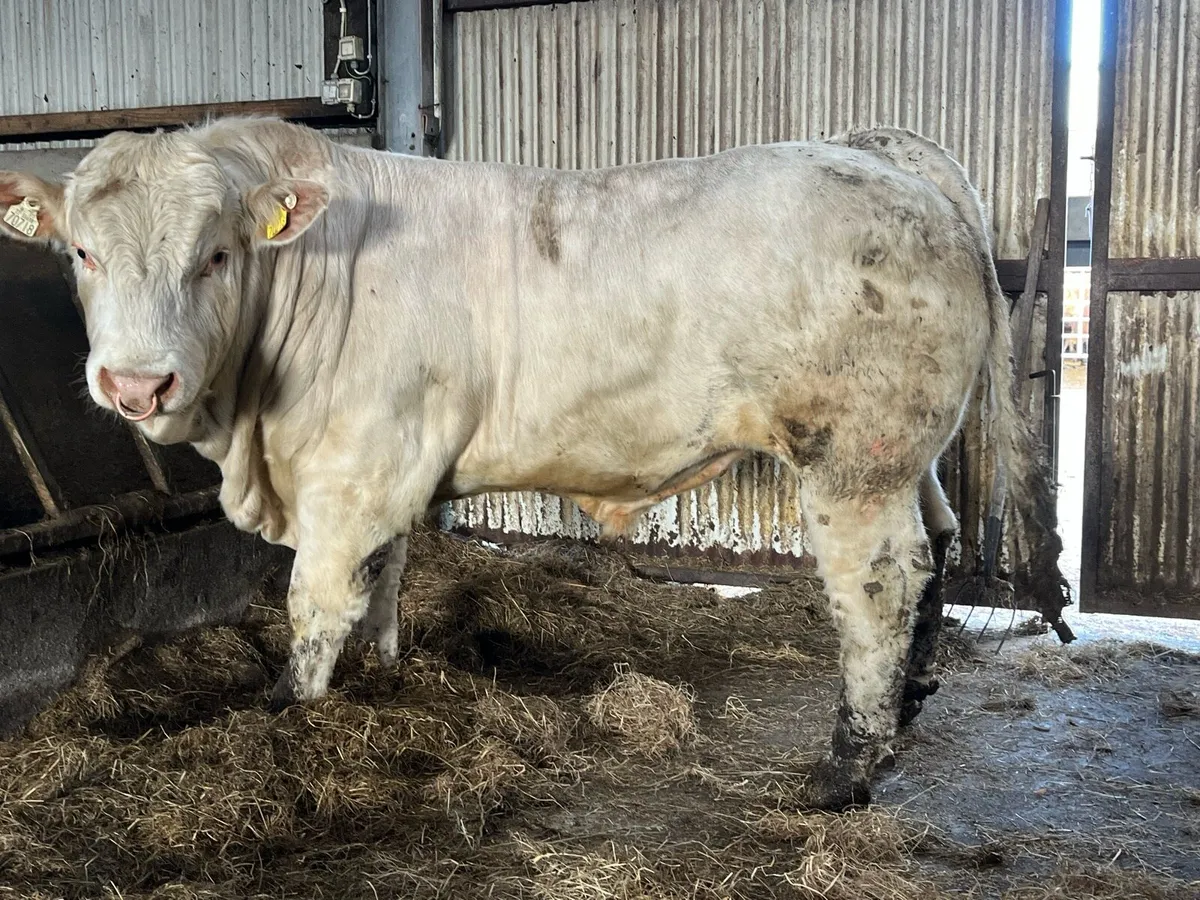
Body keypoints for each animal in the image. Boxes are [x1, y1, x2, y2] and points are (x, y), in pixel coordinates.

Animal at [0, 118, 1069, 810]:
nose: (136, 384)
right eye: (82, 252)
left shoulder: (353, 469)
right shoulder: (387, 471)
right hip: (906, 451)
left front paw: (282, 719)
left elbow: (316, 605)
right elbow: (385, 582)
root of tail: (885, 157)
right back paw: (909, 705)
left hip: (851, 458)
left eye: (217, 254)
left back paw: (847, 767)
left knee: (879, 584)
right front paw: (387, 676)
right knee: (939, 542)